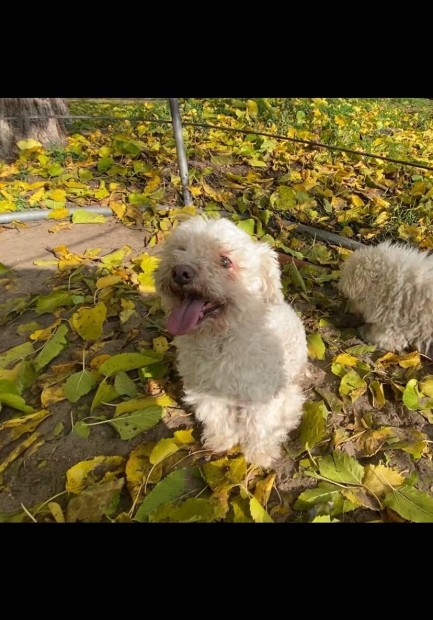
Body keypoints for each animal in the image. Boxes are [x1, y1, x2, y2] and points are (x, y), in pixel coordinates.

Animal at [154, 217, 308, 464]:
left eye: (226, 261)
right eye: (181, 249)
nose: (180, 271)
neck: (221, 340)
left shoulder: (264, 398)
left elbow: (260, 426)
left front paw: (260, 453)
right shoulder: (205, 391)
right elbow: (216, 417)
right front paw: (221, 441)